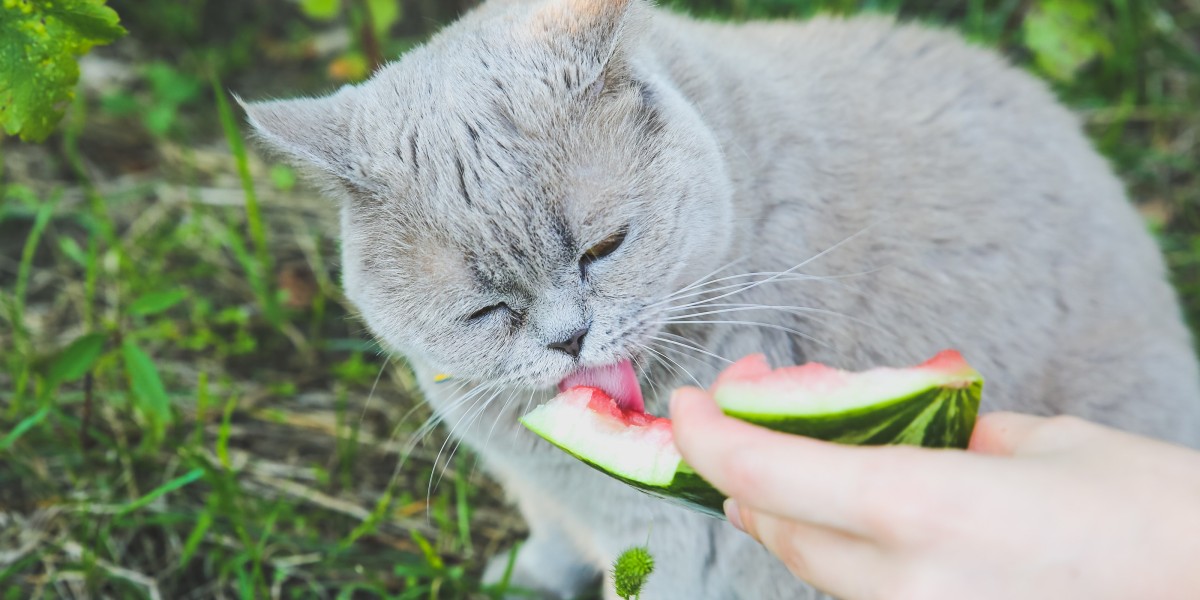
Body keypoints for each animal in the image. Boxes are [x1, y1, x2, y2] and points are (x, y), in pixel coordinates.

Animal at [241, 0, 1200, 597]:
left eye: (603, 248)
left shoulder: (678, 549)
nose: (569, 337)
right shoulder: (543, 494)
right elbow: (550, 539)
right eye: (487, 310)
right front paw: (528, 577)